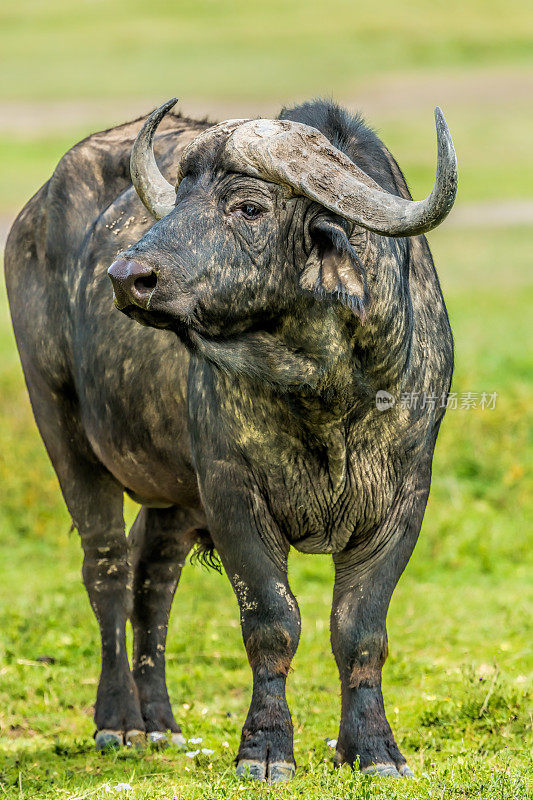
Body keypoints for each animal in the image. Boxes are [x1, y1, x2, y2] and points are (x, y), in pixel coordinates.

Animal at [4, 98, 456, 780]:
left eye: (249, 206)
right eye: (183, 194)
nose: (127, 275)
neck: (325, 390)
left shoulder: (404, 501)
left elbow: (360, 630)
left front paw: (373, 749)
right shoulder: (232, 491)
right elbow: (271, 621)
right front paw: (265, 750)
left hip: (174, 490)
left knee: (153, 577)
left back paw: (160, 724)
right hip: (62, 426)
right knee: (107, 568)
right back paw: (119, 722)